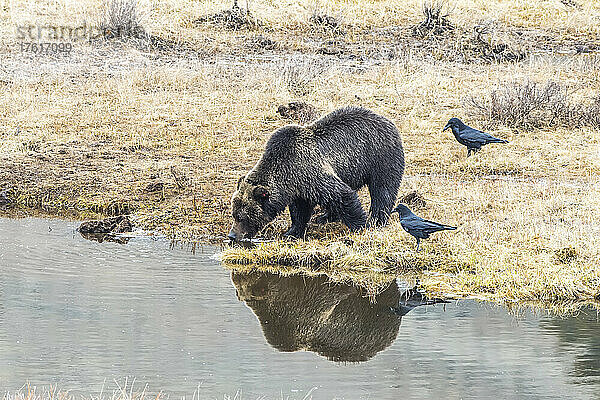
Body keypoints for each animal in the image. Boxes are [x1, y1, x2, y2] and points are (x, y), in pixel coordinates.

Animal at [227, 104, 406, 239]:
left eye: (242, 216)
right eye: (234, 213)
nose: (232, 235)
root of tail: (388, 121)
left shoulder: (310, 172)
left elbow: (342, 195)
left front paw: (361, 226)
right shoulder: (299, 187)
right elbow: (300, 210)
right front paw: (292, 232)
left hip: (380, 158)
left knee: (383, 190)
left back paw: (377, 219)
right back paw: (324, 216)